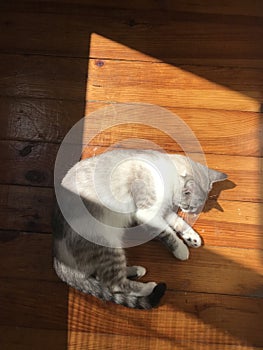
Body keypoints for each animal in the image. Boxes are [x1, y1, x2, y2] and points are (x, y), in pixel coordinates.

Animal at [52, 149, 228, 308]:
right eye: (192, 207)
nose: (192, 212)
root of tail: (57, 259)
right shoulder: (147, 213)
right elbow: (168, 234)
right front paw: (181, 250)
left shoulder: (162, 210)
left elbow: (177, 222)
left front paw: (192, 238)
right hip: (107, 244)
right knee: (114, 284)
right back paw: (149, 286)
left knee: (104, 277)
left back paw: (137, 271)